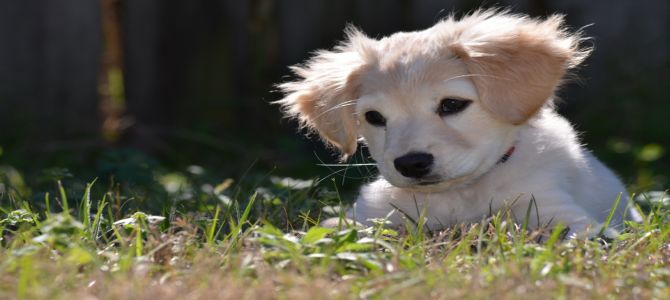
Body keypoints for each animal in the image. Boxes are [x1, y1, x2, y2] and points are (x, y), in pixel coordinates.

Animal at [276, 9, 640, 237]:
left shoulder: (557, 212)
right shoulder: (371, 215)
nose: (412, 164)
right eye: (374, 118)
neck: (460, 195)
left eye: (451, 104)